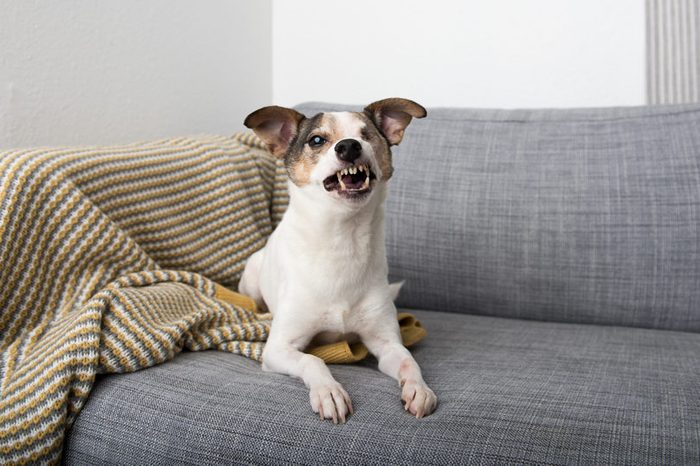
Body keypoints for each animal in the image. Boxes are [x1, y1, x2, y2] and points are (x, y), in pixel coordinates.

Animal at [241, 97, 438, 422]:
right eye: (317, 140)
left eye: (366, 135)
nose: (349, 146)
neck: (342, 238)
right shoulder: (278, 349)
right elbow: (312, 361)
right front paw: (329, 392)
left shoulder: (386, 343)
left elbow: (409, 360)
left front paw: (418, 389)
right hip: (252, 278)